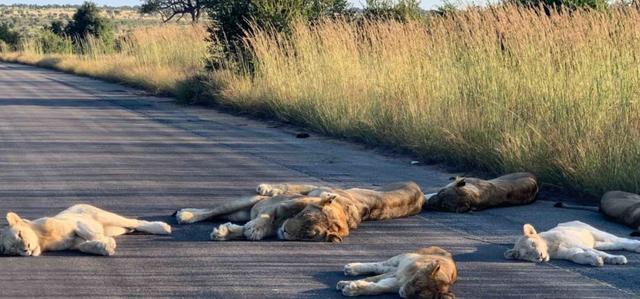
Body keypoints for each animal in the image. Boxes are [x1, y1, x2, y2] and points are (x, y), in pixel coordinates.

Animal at [0, 204, 172, 258]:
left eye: (20, 235)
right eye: (13, 250)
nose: (26, 249)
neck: (42, 241)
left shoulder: (76, 223)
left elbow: (89, 233)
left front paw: (106, 242)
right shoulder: (74, 243)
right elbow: (84, 246)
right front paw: (105, 247)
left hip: (105, 216)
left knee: (136, 222)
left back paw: (163, 227)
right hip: (115, 229)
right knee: (130, 227)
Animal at [504, 220, 640, 268]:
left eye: (533, 244)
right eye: (527, 254)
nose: (540, 257)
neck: (550, 248)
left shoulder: (577, 243)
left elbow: (600, 253)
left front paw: (617, 259)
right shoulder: (568, 252)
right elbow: (577, 256)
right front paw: (595, 260)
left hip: (594, 231)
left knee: (621, 240)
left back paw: (637, 245)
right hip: (597, 242)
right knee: (613, 244)